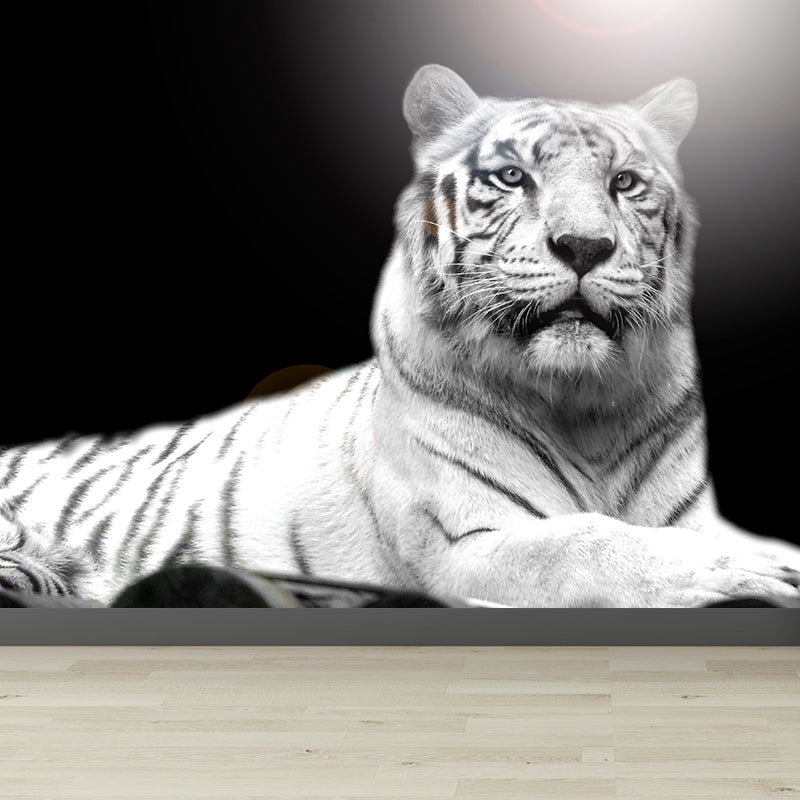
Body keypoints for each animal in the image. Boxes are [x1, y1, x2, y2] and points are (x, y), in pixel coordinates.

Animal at [2, 64, 799, 608]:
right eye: (512, 178)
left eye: (626, 184)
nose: (583, 246)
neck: (586, 406)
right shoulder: (466, 547)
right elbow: (592, 541)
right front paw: (753, 571)